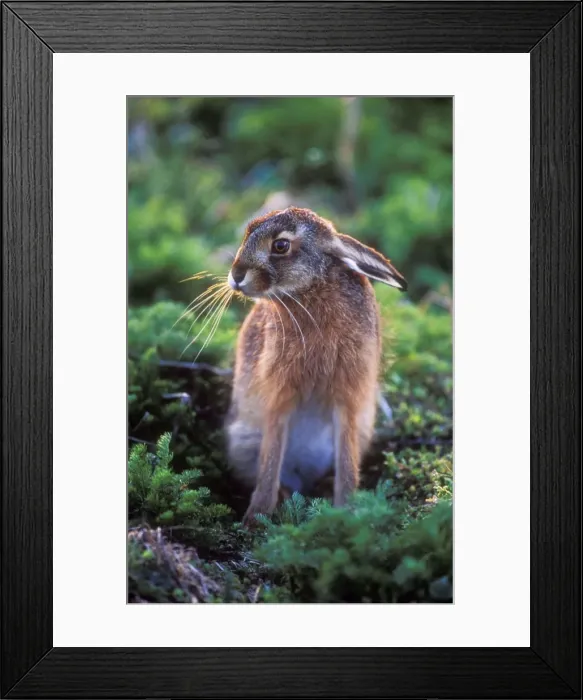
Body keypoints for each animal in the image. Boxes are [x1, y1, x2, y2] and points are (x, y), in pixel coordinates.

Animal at [225, 207, 407, 525]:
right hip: (243, 441)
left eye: (281, 246)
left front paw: (347, 512)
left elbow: (347, 458)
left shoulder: (348, 396)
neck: (309, 292)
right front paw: (255, 518)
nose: (236, 276)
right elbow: (271, 455)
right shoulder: (279, 395)